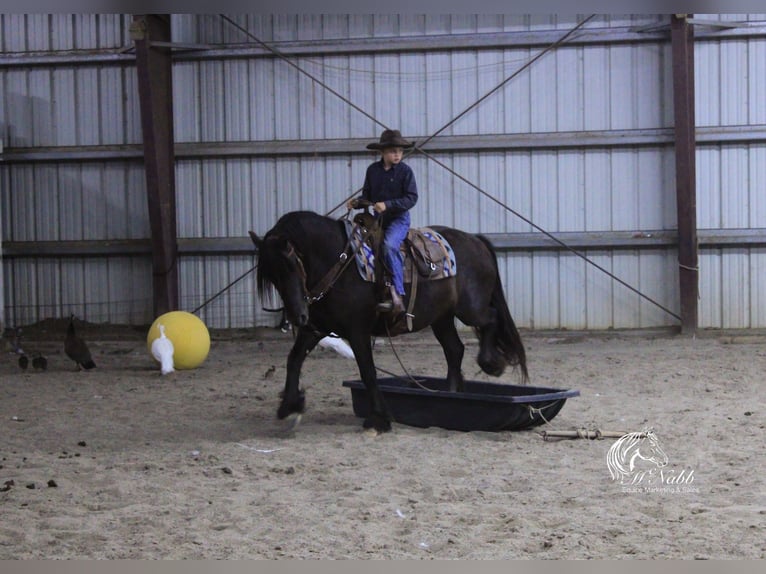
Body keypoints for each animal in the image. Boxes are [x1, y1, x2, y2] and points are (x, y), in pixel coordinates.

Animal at [252, 210, 528, 432]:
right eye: (272, 277)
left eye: (291, 265)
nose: (297, 316)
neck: (340, 264)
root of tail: (476, 240)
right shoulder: (316, 329)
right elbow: (294, 359)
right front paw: (290, 405)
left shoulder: (358, 331)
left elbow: (368, 371)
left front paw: (380, 419)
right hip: (442, 318)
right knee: (454, 349)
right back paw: (449, 395)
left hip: (470, 309)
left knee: (490, 319)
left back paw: (490, 363)